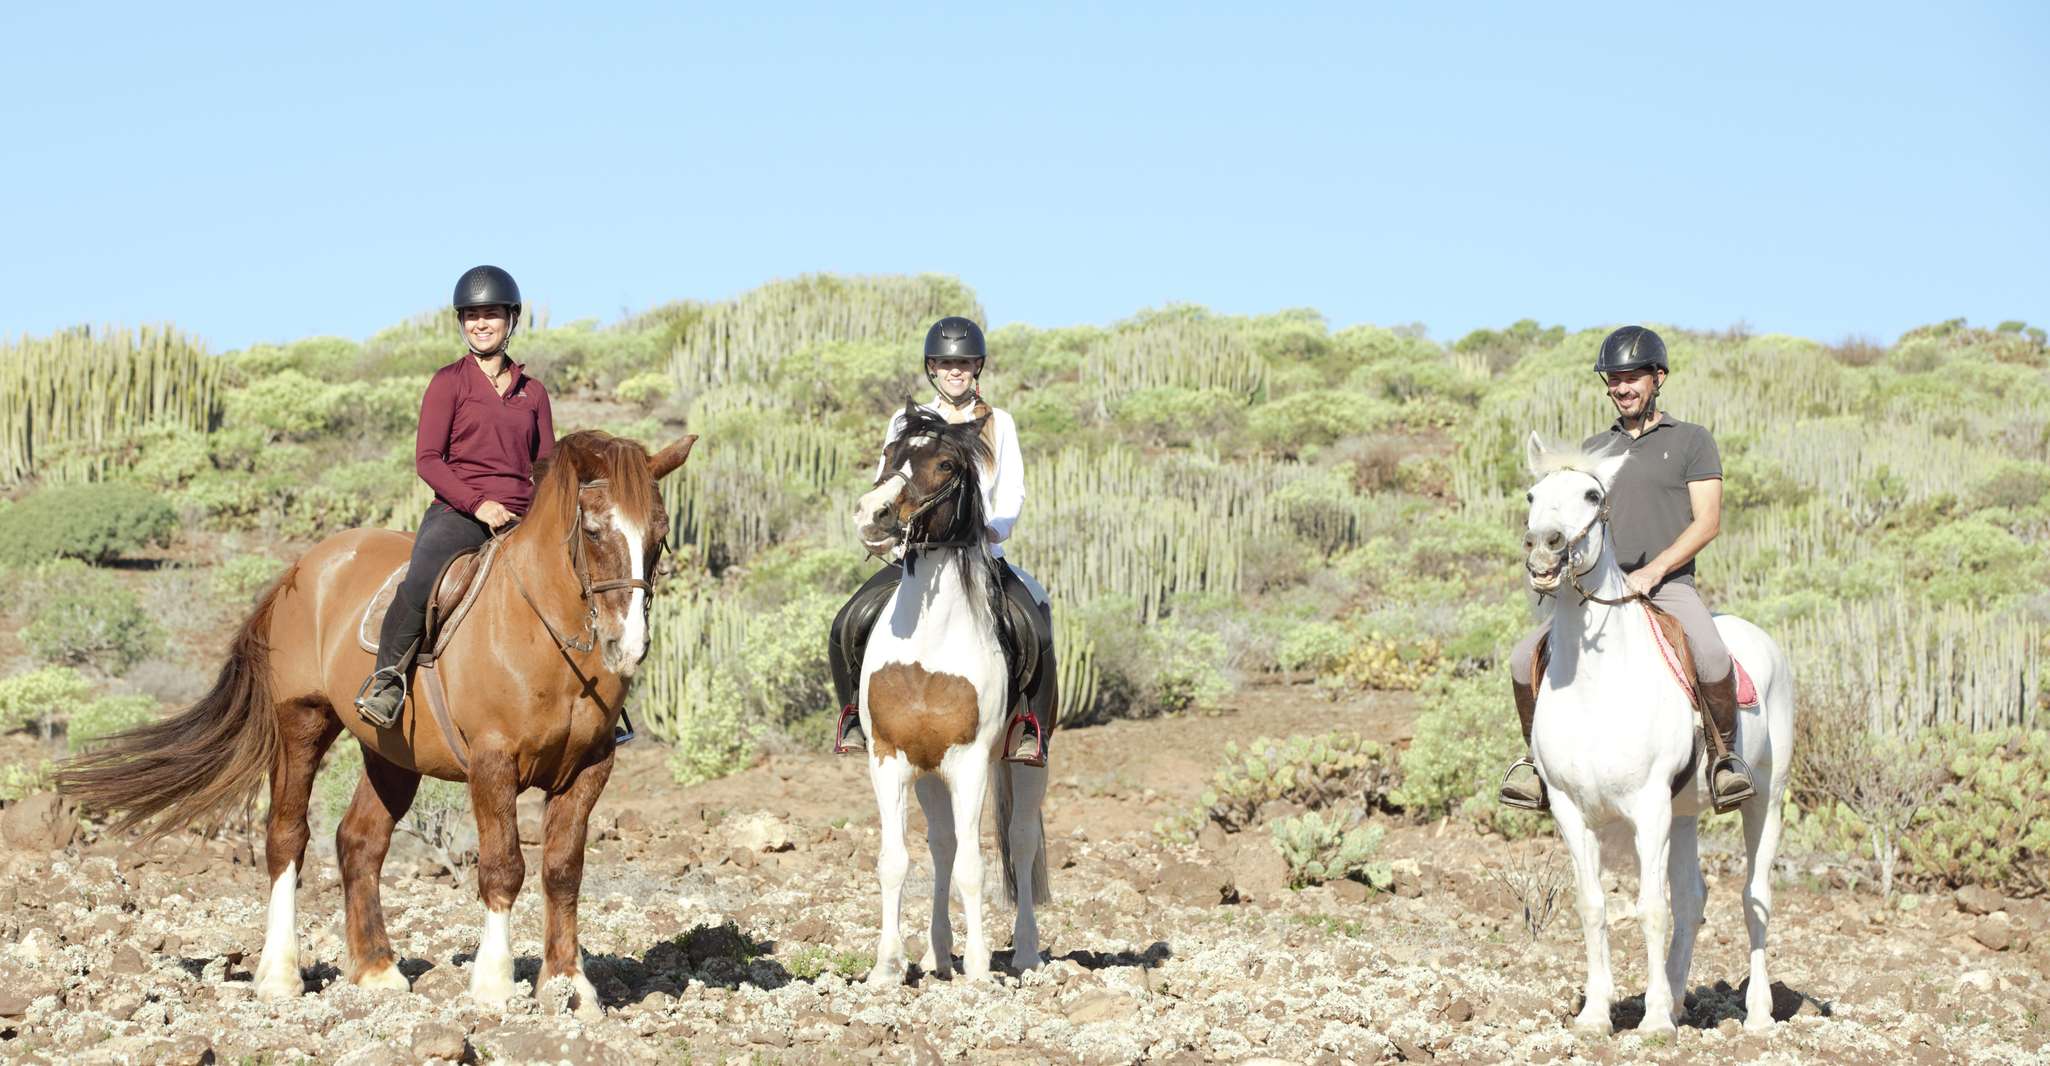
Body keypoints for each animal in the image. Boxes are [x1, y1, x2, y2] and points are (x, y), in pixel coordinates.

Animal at [57, 430, 697, 1017]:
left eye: (660, 534)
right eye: (593, 530)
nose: (627, 647)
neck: (544, 635)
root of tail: (302, 567)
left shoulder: (588, 769)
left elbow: (563, 871)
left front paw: (569, 986)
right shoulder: (493, 764)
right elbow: (503, 867)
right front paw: (493, 985)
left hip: (392, 757)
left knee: (359, 842)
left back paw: (376, 970)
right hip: (303, 724)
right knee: (286, 837)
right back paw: (279, 975)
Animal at [848, 405, 1050, 985]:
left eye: (944, 464)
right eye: (890, 454)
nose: (874, 515)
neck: (929, 647)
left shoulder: (972, 762)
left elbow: (974, 866)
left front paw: (980, 969)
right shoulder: (888, 758)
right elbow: (896, 861)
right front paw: (886, 967)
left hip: (1029, 762)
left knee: (1021, 841)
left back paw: (1025, 954)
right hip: (929, 775)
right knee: (940, 846)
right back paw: (938, 955)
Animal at [1519, 432, 1794, 1034]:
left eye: (1593, 495)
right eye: (1531, 494)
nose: (1544, 549)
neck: (1595, 687)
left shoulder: (1648, 808)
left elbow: (1650, 909)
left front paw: (1653, 1025)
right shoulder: (1571, 811)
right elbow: (1593, 905)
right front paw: (1597, 1014)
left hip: (1766, 799)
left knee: (1755, 897)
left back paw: (1758, 1015)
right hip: (1686, 813)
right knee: (1693, 898)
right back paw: (1674, 996)